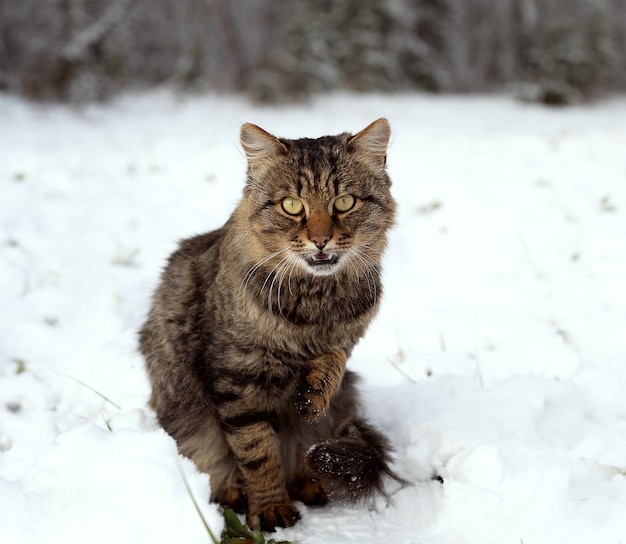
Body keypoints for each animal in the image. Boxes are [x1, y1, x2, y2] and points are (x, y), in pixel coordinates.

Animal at [139, 119, 398, 532]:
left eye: (344, 203)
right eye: (292, 206)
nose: (321, 240)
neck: (315, 303)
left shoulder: (346, 341)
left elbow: (333, 360)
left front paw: (314, 389)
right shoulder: (237, 377)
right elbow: (256, 450)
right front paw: (271, 506)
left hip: (342, 408)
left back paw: (313, 485)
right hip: (184, 412)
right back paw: (233, 493)